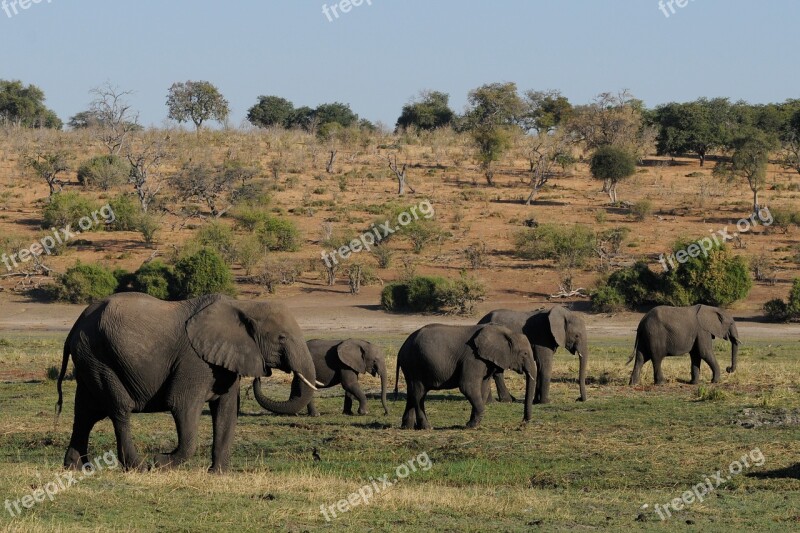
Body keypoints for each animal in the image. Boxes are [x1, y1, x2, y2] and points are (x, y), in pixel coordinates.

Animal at [56, 294, 318, 472]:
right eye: (281, 338)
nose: (262, 374)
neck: (243, 305)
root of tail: (75, 326)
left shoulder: (224, 360)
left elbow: (226, 411)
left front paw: (217, 474)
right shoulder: (194, 360)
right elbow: (182, 405)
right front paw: (160, 462)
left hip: (89, 360)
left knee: (85, 413)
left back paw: (76, 468)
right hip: (98, 357)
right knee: (119, 409)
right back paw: (138, 467)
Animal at [252, 338, 386, 418]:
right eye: (375, 361)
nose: (385, 413)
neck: (361, 343)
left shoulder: (351, 364)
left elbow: (349, 388)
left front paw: (348, 413)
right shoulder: (343, 364)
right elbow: (349, 384)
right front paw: (364, 413)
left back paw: (295, 413)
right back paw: (316, 415)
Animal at [390, 320, 536, 428]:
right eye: (524, 354)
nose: (523, 422)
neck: (505, 331)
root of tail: (401, 349)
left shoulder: (485, 361)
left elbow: (482, 389)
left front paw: (473, 424)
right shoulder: (473, 358)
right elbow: (467, 386)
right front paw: (470, 426)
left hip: (411, 366)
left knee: (412, 392)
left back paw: (407, 427)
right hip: (414, 364)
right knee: (419, 393)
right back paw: (427, 427)